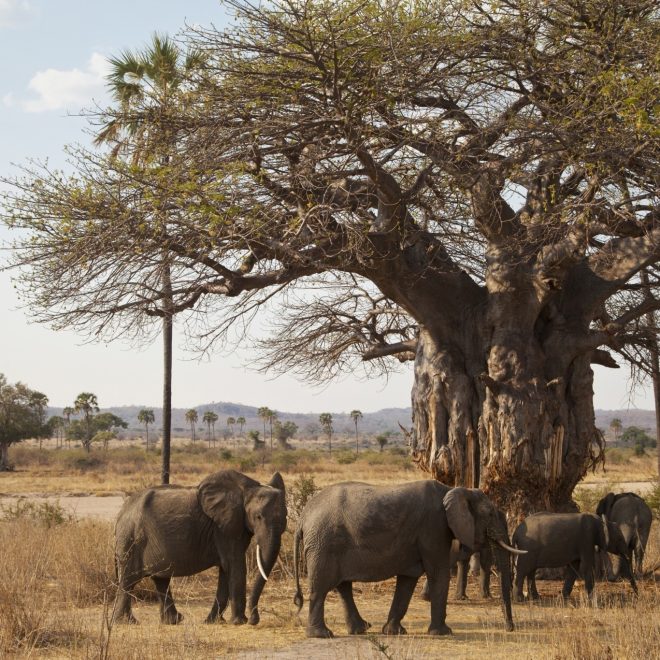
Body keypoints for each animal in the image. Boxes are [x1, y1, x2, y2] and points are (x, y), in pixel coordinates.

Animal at [113, 469, 287, 625]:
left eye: (285, 516)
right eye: (258, 517)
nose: (253, 619)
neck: (249, 489)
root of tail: (121, 512)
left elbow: (226, 568)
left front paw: (213, 622)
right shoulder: (223, 528)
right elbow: (235, 565)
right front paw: (239, 622)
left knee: (161, 579)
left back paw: (173, 621)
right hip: (130, 538)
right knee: (129, 580)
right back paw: (126, 622)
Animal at [292, 480, 524, 638]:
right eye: (490, 514)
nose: (509, 628)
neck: (454, 489)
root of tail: (303, 517)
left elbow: (407, 581)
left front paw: (394, 632)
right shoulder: (433, 528)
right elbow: (438, 574)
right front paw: (443, 633)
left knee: (343, 587)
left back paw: (361, 629)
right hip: (323, 544)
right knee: (321, 588)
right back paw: (322, 635)